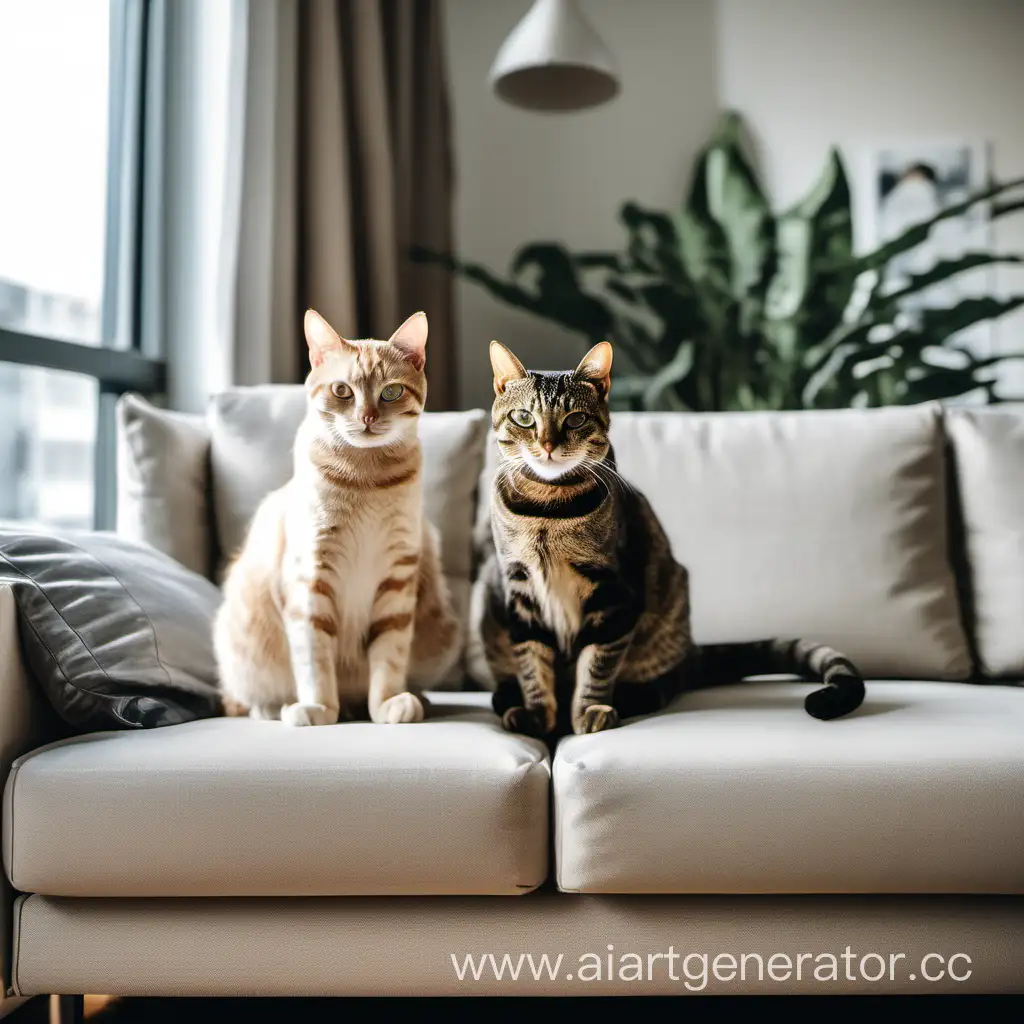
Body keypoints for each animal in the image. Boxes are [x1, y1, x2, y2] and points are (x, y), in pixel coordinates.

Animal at [216, 307, 460, 724]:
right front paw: (318, 708)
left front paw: (387, 704)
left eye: (391, 391)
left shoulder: (398, 577)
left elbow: (389, 656)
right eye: (342, 391)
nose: (367, 417)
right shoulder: (310, 578)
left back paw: (412, 699)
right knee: (248, 699)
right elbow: (314, 659)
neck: (366, 480)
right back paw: (281, 708)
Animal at [468, 342, 864, 737]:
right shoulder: (519, 591)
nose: (548, 444)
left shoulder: (615, 595)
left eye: (575, 419)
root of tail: (690, 652)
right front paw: (538, 716)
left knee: (663, 685)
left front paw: (588, 711)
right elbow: (532, 664)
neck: (547, 511)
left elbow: (596, 665)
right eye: (524, 417)